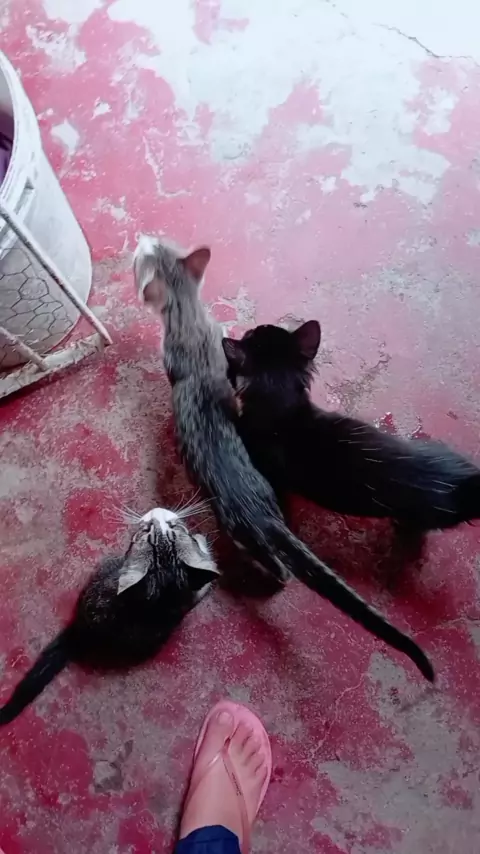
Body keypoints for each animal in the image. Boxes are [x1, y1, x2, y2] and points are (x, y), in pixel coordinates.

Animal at [133, 235, 434, 682]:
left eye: (145, 251)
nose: (141, 238)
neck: (189, 319)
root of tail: (261, 512)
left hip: (243, 535)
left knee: (279, 572)